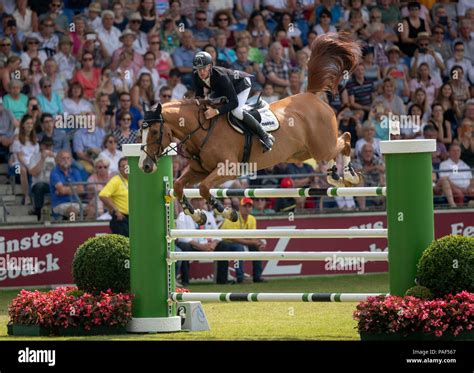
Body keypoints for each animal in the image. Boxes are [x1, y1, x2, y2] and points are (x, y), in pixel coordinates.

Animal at [139, 32, 362, 222]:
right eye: (141, 131)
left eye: (155, 131)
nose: (145, 166)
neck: (202, 131)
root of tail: (310, 95)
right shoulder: (198, 170)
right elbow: (178, 186)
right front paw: (197, 215)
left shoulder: (229, 168)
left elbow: (203, 188)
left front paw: (227, 212)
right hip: (301, 153)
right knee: (337, 146)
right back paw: (335, 176)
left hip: (321, 146)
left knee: (345, 138)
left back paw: (349, 175)